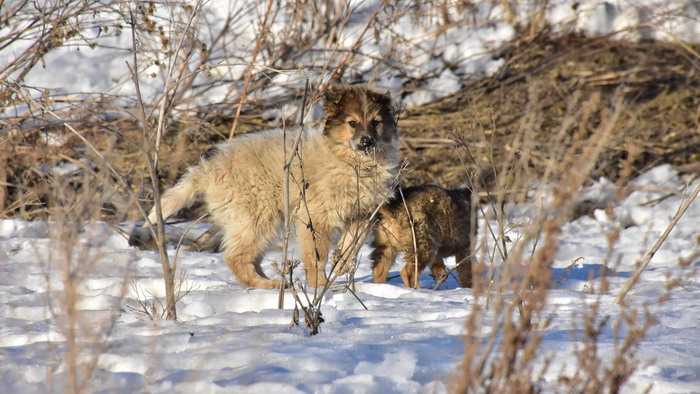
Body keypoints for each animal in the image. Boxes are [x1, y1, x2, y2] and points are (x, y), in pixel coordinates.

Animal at [142, 85, 400, 290]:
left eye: (376, 123)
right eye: (352, 123)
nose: (367, 141)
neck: (350, 161)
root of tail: (208, 170)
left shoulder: (362, 213)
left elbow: (352, 242)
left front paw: (342, 264)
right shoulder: (315, 217)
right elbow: (316, 256)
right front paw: (319, 285)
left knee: (250, 258)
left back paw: (273, 282)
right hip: (255, 218)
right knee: (236, 257)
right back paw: (271, 284)